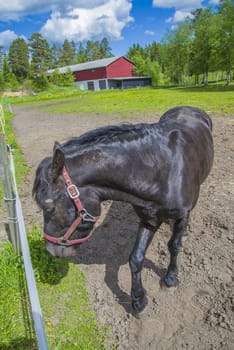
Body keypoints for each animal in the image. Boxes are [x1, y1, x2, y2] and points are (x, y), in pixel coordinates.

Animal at [33, 106, 214, 312]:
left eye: (48, 206)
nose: (51, 251)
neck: (163, 171)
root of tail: (189, 108)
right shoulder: (149, 219)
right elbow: (136, 258)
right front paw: (138, 298)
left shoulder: (182, 216)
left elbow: (174, 246)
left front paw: (171, 277)